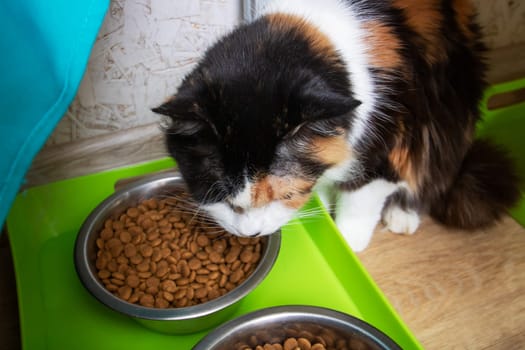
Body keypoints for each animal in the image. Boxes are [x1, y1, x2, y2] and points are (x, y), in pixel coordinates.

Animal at [152, 0, 520, 252]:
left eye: (286, 195)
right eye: (219, 196)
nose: (249, 233)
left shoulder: (385, 145)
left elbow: (360, 199)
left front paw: (346, 243)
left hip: (447, 115)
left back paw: (403, 215)